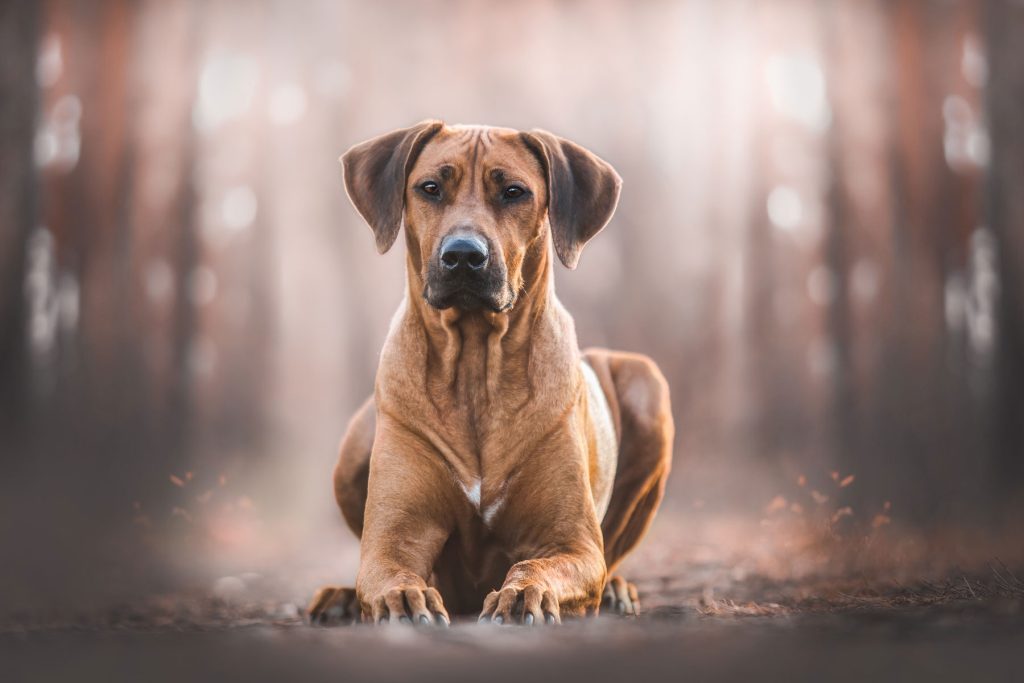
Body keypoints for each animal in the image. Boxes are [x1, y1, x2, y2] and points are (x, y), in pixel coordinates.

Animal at [305, 121, 671, 626]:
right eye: (430, 188)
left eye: (514, 192)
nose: (463, 255)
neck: (476, 366)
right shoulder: (390, 540)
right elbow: (385, 569)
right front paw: (402, 597)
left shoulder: (574, 544)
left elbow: (544, 562)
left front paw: (524, 593)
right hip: (353, 447)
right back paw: (338, 598)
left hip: (645, 381)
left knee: (612, 555)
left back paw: (618, 590)